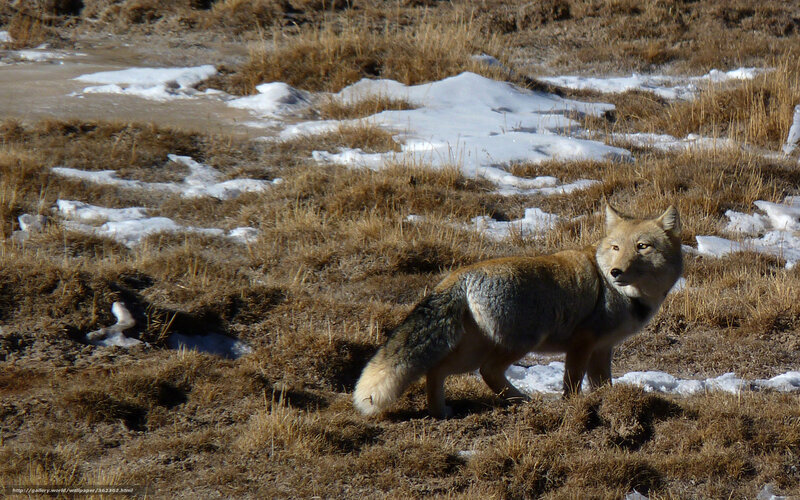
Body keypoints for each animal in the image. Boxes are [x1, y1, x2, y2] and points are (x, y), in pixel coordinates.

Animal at [353, 204, 683, 418]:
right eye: (616, 248)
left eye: (642, 246)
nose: (615, 272)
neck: (626, 296)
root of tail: (459, 275)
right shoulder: (582, 344)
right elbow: (572, 384)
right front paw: (573, 407)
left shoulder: (603, 349)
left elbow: (603, 384)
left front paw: (606, 402)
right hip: (520, 343)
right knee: (486, 372)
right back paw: (523, 400)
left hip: (474, 351)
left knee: (436, 370)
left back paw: (440, 412)